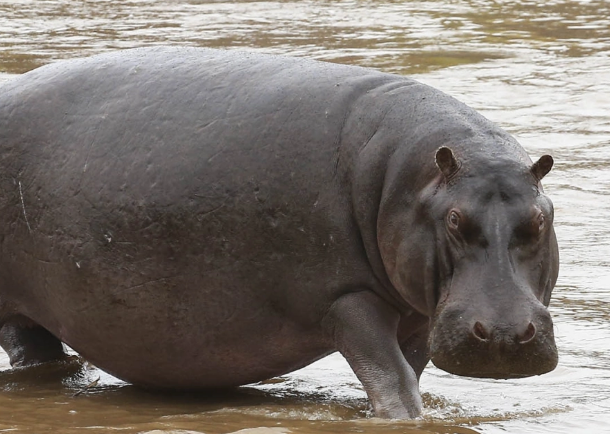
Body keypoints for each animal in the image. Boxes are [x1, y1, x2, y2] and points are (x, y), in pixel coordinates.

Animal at [0, 46, 556, 418]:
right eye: (454, 220)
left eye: (541, 218)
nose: (505, 333)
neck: (409, 182)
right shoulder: (345, 298)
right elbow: (394, 381)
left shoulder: (420, 314)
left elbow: (409, 371)